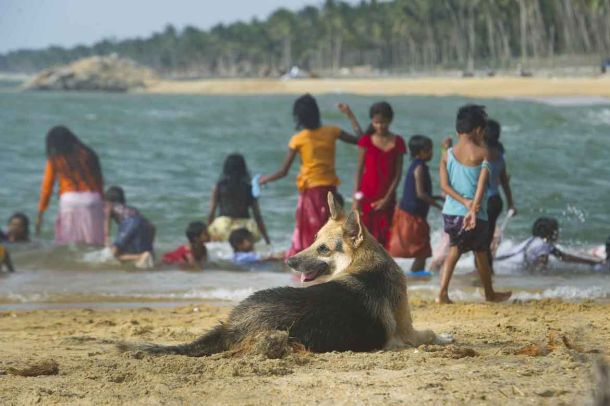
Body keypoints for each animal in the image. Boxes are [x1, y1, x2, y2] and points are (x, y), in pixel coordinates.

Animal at [119, 193, 440, 356]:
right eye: (313, 240)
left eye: (323, 248)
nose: (289, 261)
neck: (363, 260)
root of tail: (231, 326)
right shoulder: (407, 333)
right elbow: (433, 333)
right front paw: (444, 335)